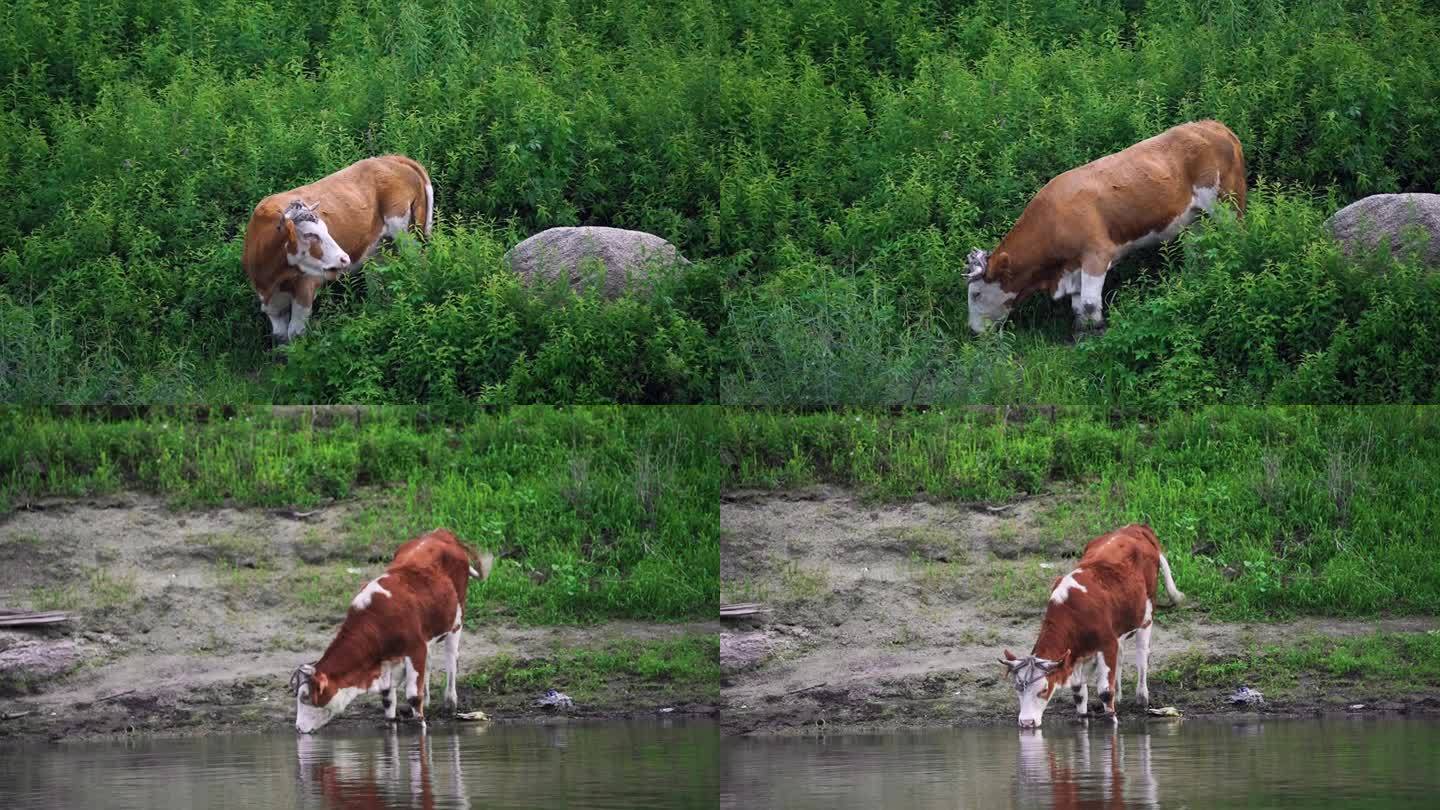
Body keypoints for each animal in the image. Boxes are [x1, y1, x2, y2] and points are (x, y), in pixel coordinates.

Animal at [244, 154, 432, 340]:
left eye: (326, 229)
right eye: (309, 234)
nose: (344, 258)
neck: (272, 279)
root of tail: (391, 158)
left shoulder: (305, 289)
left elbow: (296, 334)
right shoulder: (272, 307)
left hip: (406, 233)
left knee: (418, 266)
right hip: (378, 249)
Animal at [288, 527, 495, 729]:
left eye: (305, 697)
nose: (298, 728)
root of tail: (440, 533)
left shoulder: (415, 649)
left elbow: (413, 696)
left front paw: (420, 723)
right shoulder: (387, 664)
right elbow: (388, 701)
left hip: (456, 619)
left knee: (451, 658)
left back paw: (450, 702)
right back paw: (429, 700)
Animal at [967, 118, 1249, 331]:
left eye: (976, 294)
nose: (973, 331)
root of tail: (1213, 125)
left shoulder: (1097, 252)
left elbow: (1090, 303)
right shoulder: (1073, 267)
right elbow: (1078, 306)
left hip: (1226, 201)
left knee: (1236, 235)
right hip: (1195, 217)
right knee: (1197, 248)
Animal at [996, 518, 1186, 729]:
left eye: (1044, 689)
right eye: (1017, 688)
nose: (1026, 722)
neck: (1074, 614)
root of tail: (1136, 527)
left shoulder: (1106, 644)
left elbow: (1104, 691)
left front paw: (1112, 720)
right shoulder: (1075, 655)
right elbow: (1079, 693)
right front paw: (1083, 720)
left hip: (1146, 613)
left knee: (1142, 655)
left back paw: (1142, 697)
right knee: (1121, 655)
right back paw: (1120, 694)